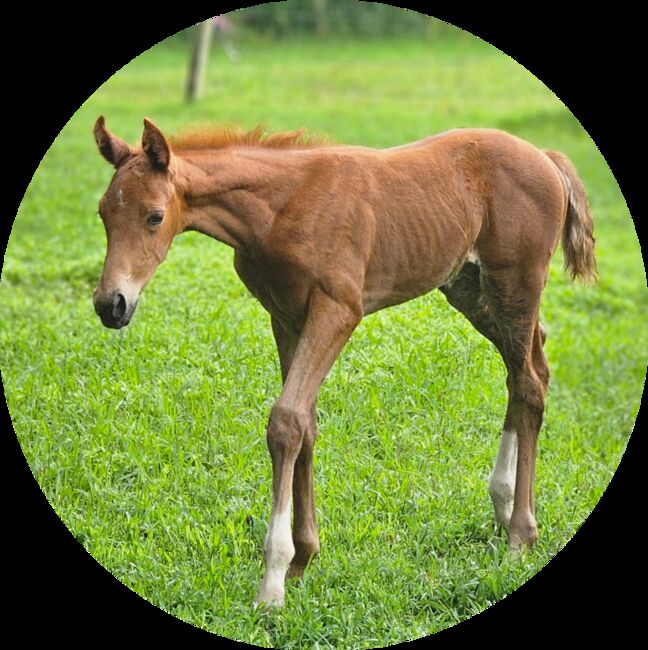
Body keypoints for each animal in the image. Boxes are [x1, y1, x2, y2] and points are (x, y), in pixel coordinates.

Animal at [92, 115, 596, 604]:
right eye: (103, 213)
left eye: (154, 216)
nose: (110, 305)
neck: (279, 209)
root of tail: (544, 157)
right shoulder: (286, 317)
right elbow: (306, 423)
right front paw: (302, 560)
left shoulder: (337, 310)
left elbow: (286, 421)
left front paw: (272, 583)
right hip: (470, 289)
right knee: (526, 369)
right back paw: (502, 503)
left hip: (516, 284)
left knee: (529, 383)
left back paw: (520, 534)